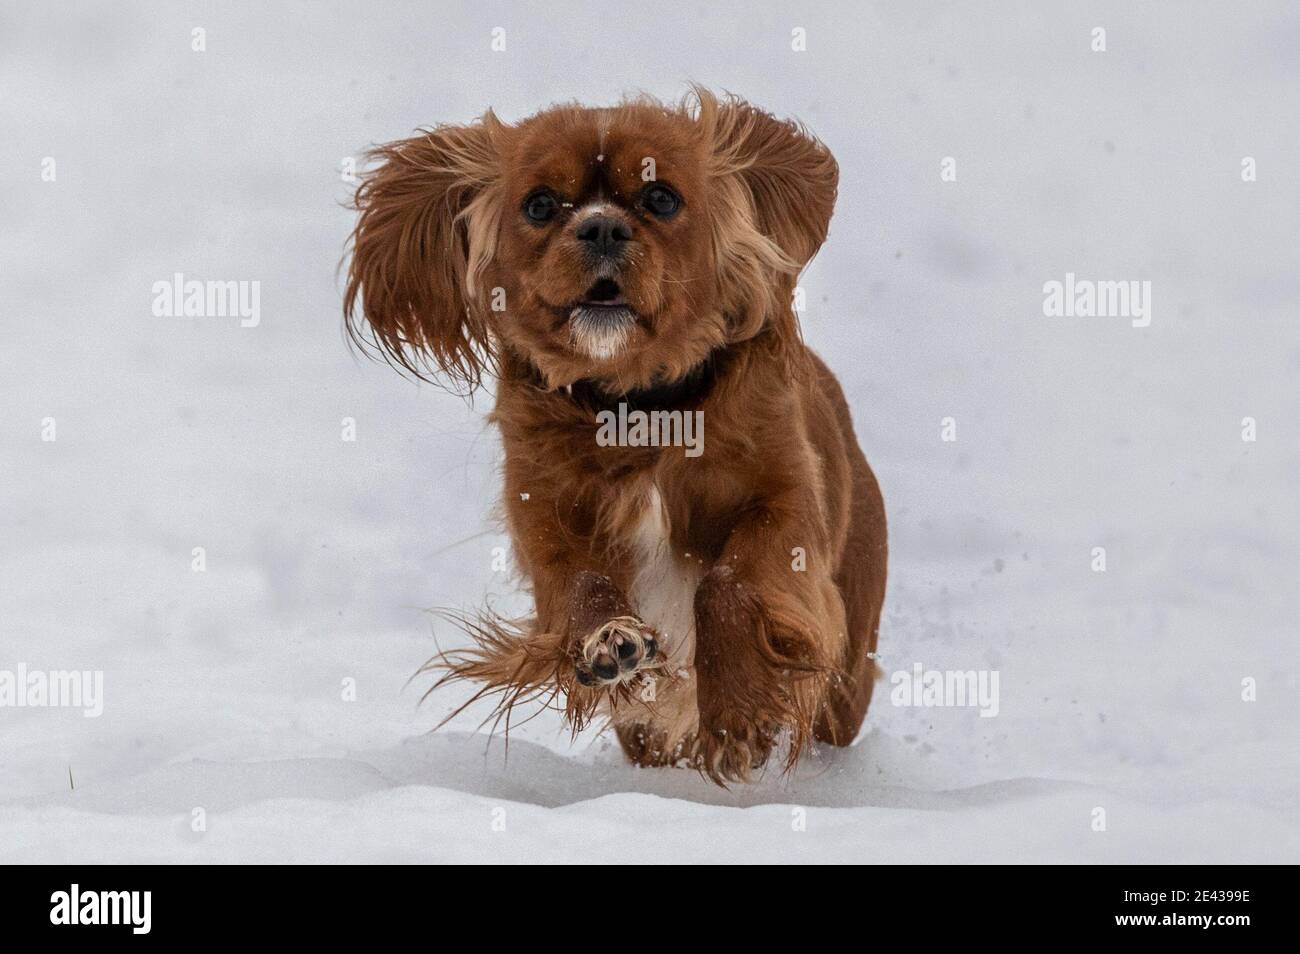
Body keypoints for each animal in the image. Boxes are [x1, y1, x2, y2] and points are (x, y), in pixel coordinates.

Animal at [345, 87, 889, 785]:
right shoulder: (545, 515)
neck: (637, 410)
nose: (601, 226)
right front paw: (611, 641)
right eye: (540, 204)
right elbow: (580, 584)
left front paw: (737, 712)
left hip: (848, 673)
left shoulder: (784, 500)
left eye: (661, 198)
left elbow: (729, 582)